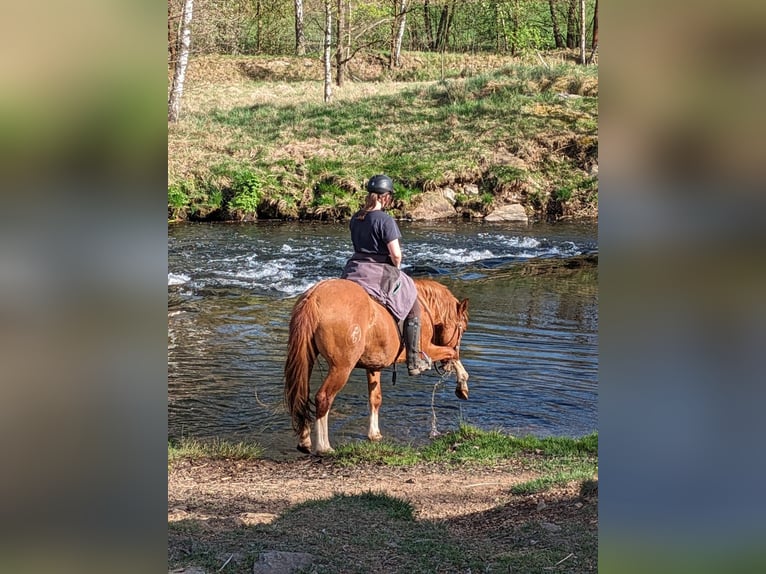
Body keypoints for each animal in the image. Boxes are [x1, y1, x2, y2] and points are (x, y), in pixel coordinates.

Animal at [284, 276, 472, 456]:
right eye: (462, 329)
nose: (445, 368)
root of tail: (315, 296)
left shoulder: (374, 366)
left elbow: (375, 398)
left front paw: (374, 434)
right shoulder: (428, 349)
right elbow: (452, 353)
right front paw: (462, 385)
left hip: (307, 359)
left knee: (302, 396)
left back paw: (305, 441)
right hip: (341, 368)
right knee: (323, 398)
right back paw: (324, 447)